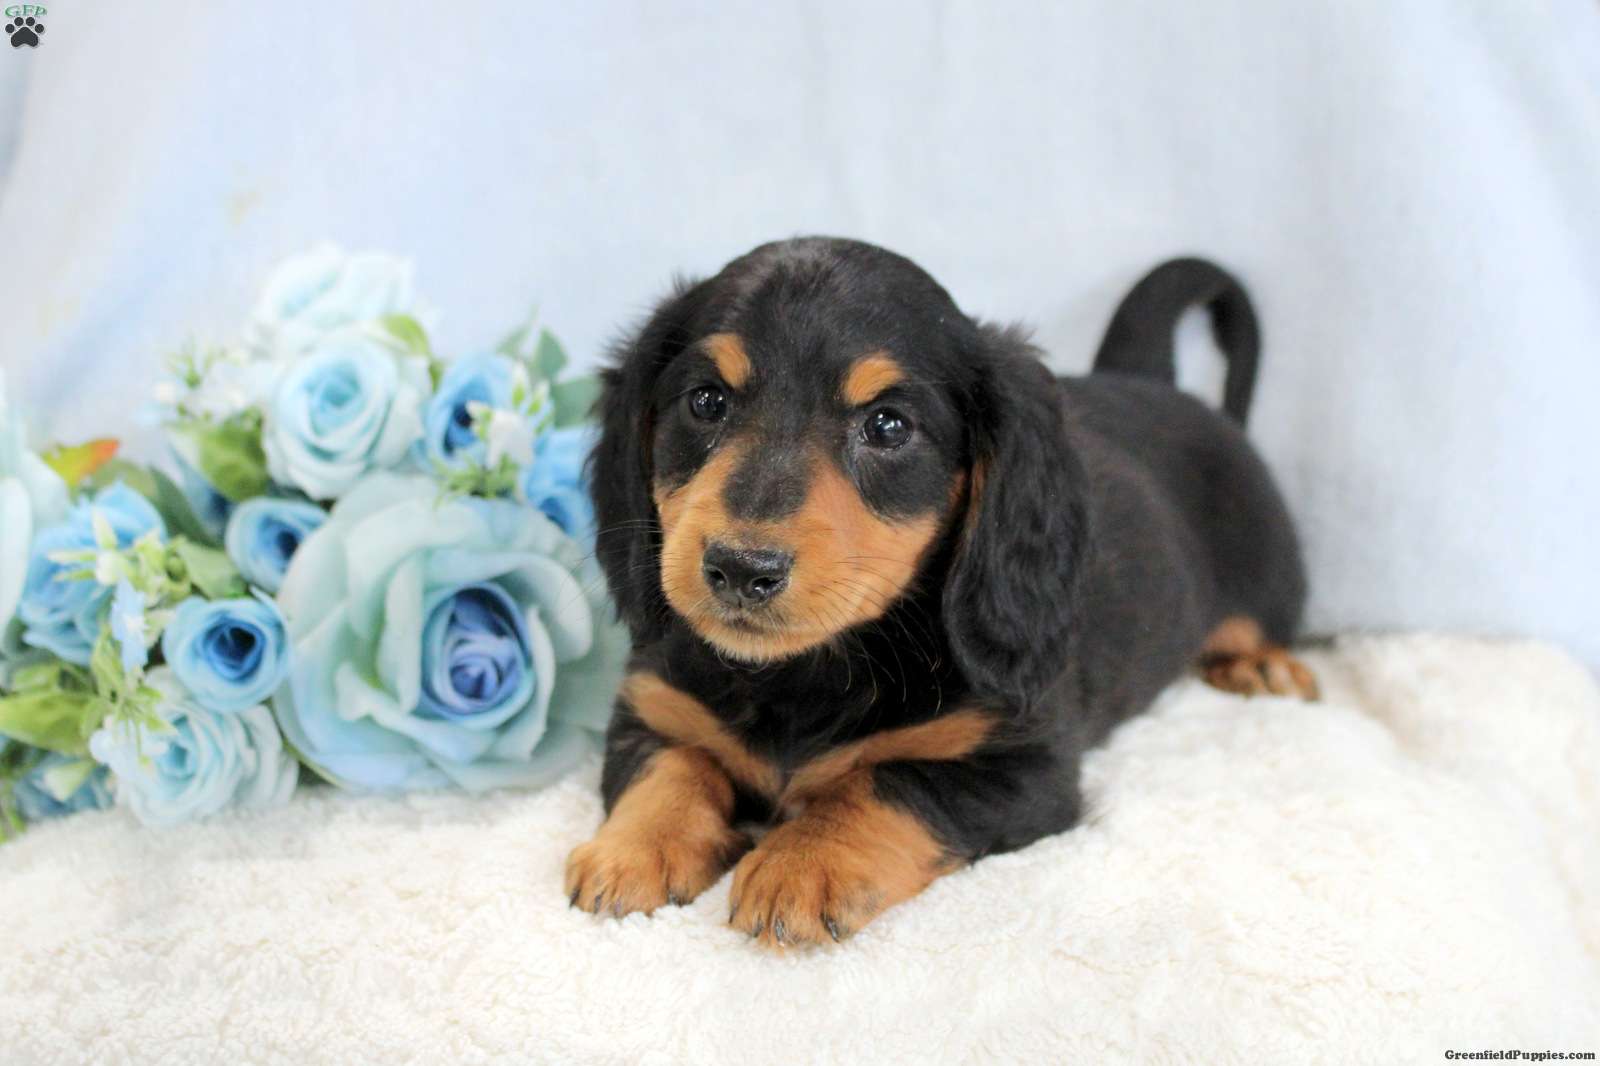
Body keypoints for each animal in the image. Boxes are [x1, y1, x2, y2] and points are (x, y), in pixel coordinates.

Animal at [565, 237, 1312, 948]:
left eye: (888, 425)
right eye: (706, 401)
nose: (741, 569)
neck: (802, 676)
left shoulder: (1024, 768)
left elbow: (888, 782)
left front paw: (800, 862)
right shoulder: (652, 708)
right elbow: (675, 763)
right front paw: (635, 848)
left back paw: (1263, 664)